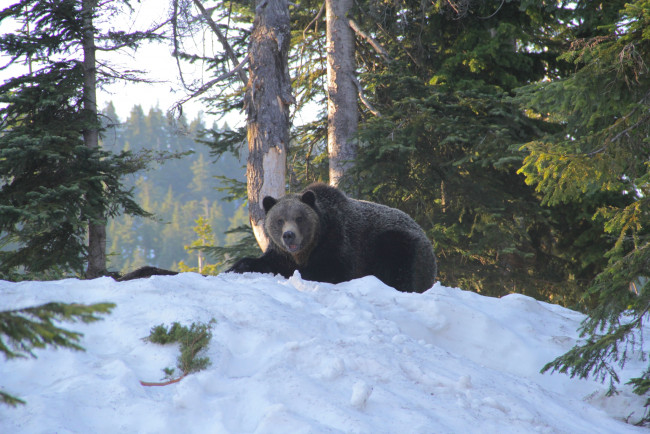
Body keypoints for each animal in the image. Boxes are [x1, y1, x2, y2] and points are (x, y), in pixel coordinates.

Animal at [228, 181, 436, 294]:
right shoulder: (282, 254)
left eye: (299, 218)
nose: (289, 235)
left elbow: (331, 271)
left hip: (398, 244)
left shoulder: (338, 242)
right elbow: (265, 262)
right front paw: (237, 267)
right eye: (280, 220)